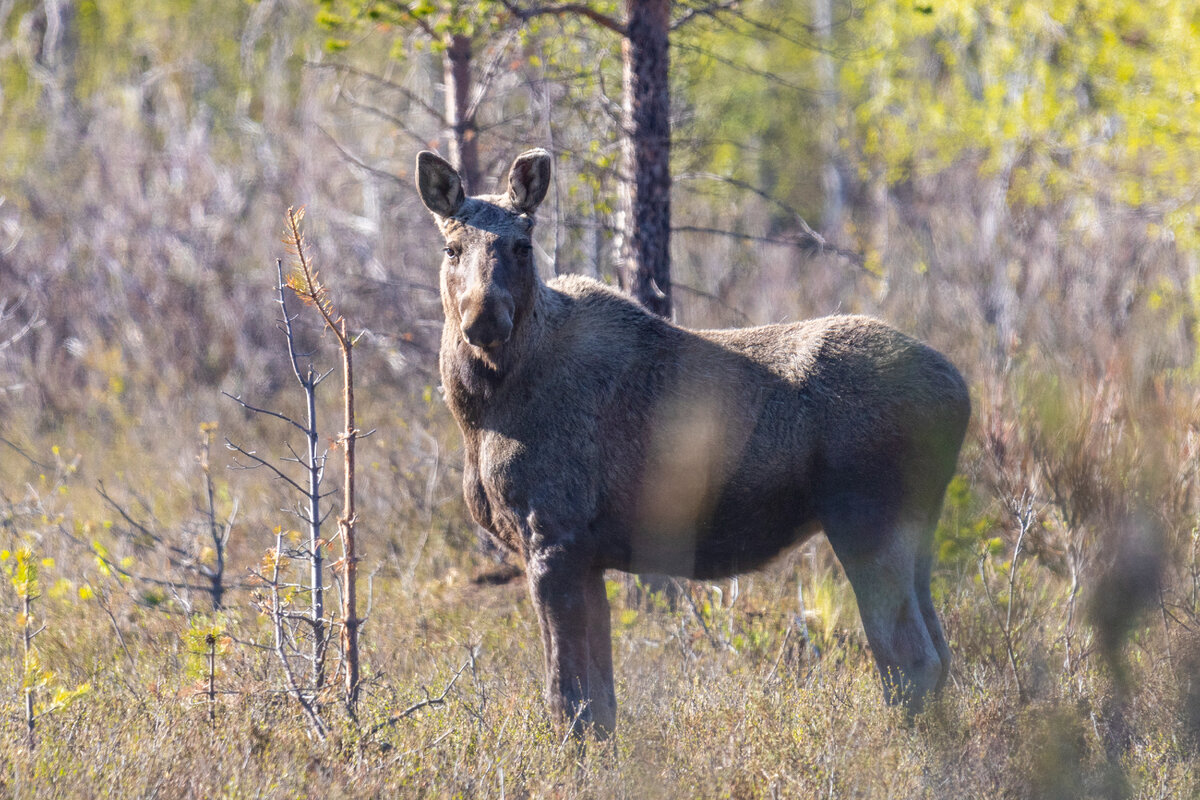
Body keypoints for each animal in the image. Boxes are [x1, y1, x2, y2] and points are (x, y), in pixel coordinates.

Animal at [417, 146, 969, 734]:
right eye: (452, 247)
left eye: (522, 245)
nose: (484, 319)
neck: (481, 414)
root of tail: (961, 395)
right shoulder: (586, 555)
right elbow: (601, 703)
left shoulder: (552, 535)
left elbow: (568, 700)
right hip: (920, 530)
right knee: (940, 653)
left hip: (867, 521)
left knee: (911, 661)